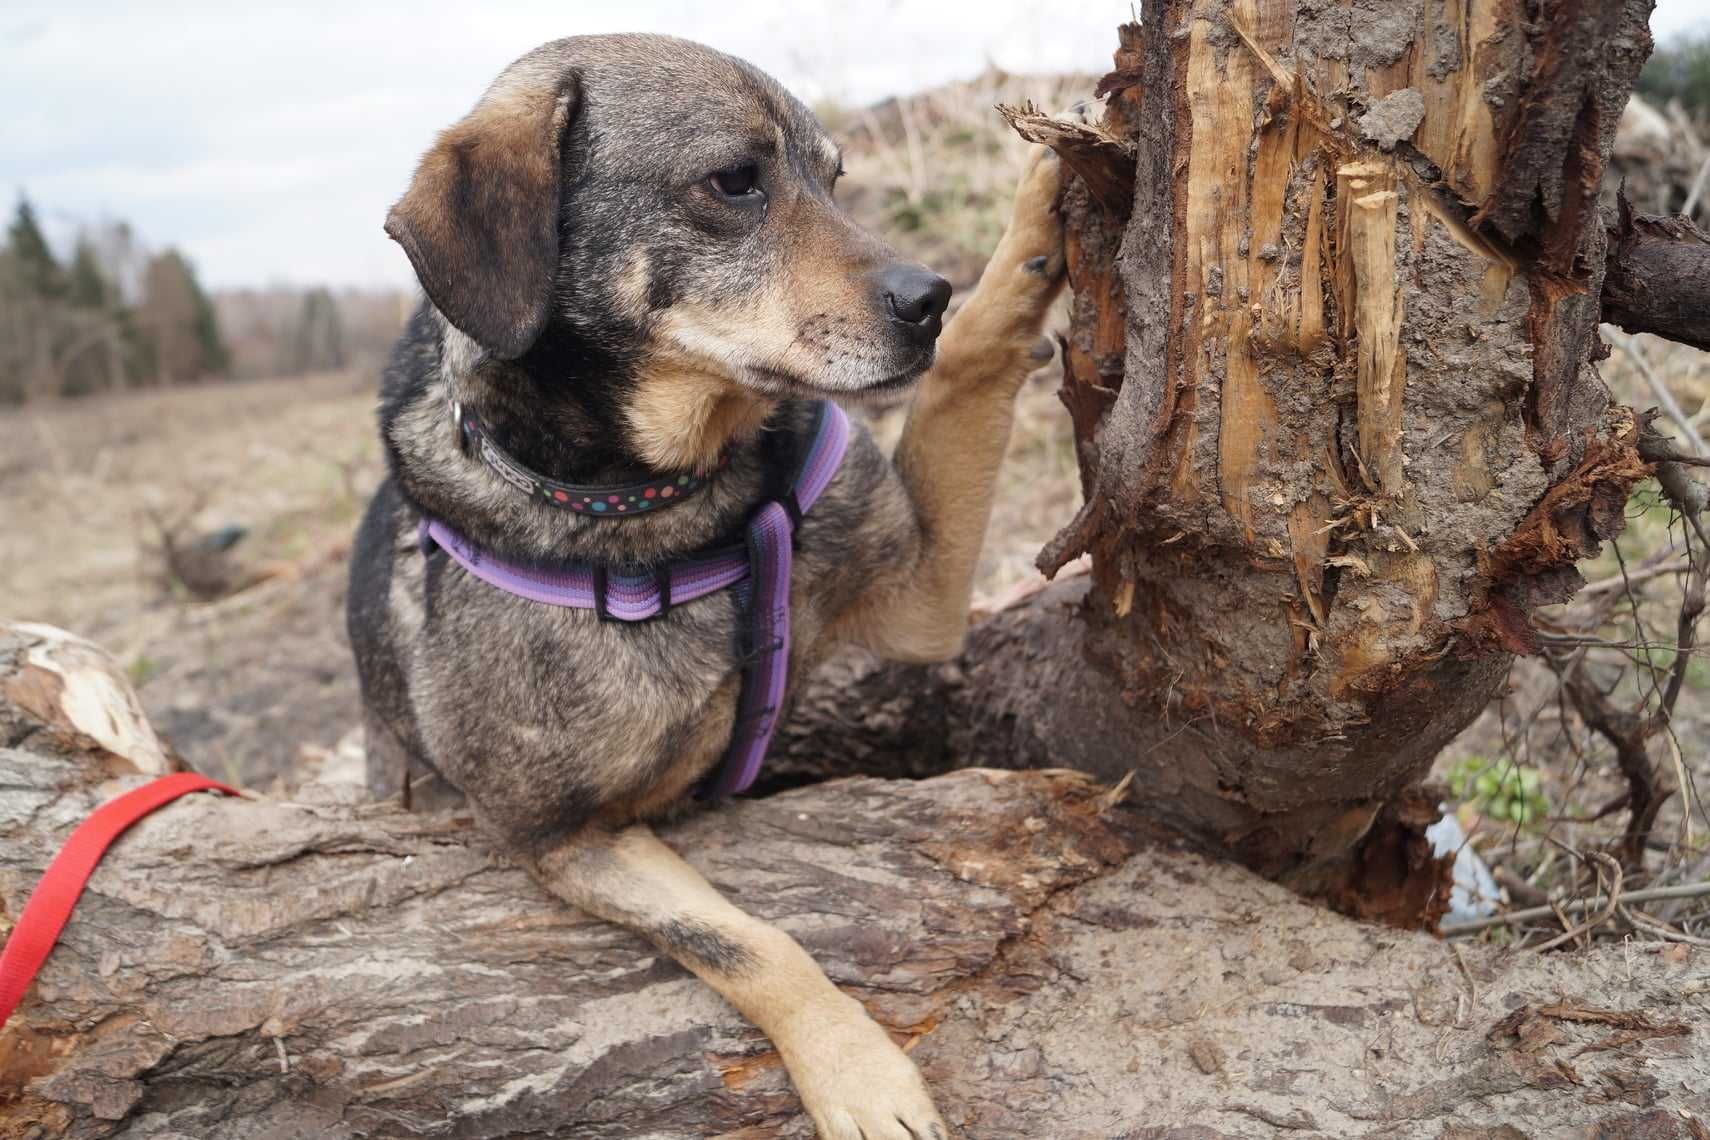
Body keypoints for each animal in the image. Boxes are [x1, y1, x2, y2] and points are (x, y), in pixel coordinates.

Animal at [348, 35, 1060, 1140]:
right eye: (734, 179)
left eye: (835, 178)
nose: (927, 298)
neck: (667, 507)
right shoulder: (560, 840)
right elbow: (746, 944)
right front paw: (860, 1074)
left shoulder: (921, 596)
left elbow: (964, 374)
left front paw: (1039, 215)